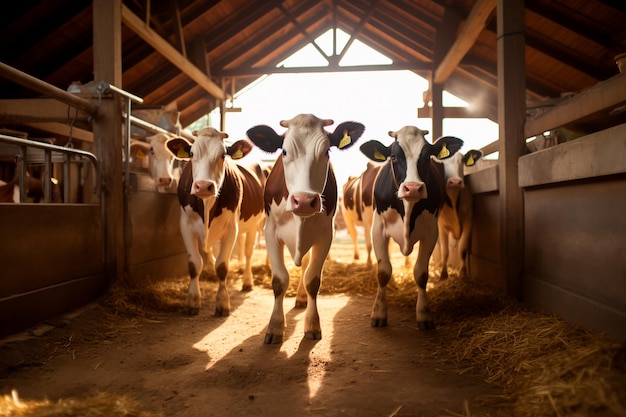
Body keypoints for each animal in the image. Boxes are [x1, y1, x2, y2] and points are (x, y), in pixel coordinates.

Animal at [166, 127, 264, 316]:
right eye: (192, 154)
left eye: (223, 155)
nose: (204, 186)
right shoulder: (186, 226)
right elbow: (194, 264)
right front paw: (193, 301)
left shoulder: (231, 228)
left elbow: (222, 266)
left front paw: (222, 303)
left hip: (254, 225)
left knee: (249, 252)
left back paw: (247, 281)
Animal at [245, 112, 364, 342]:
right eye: (284, 151)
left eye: (327, 151)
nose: (304, 201)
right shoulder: (270, 232)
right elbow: (279, 280)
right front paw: (275, 327)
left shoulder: (326, 234)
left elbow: (312, 279)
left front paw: (312, 325)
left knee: (306, 265)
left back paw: (301, 298)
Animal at [356, 126, 464, 328]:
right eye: (393, 156)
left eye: (427, 155)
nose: (413, 188)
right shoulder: (378, 230)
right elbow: (383, 271)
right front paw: (379, 313)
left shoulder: (431, 232)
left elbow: (421, 273)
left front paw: (424, 314)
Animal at [434, 144, 482, 280]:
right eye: (441, 162)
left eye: (461, 160)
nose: (455, 182)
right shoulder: (441, 226)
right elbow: (445, 251)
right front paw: (443, 274)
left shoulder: (469, 220)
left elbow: (462, 249)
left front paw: (463, 272)